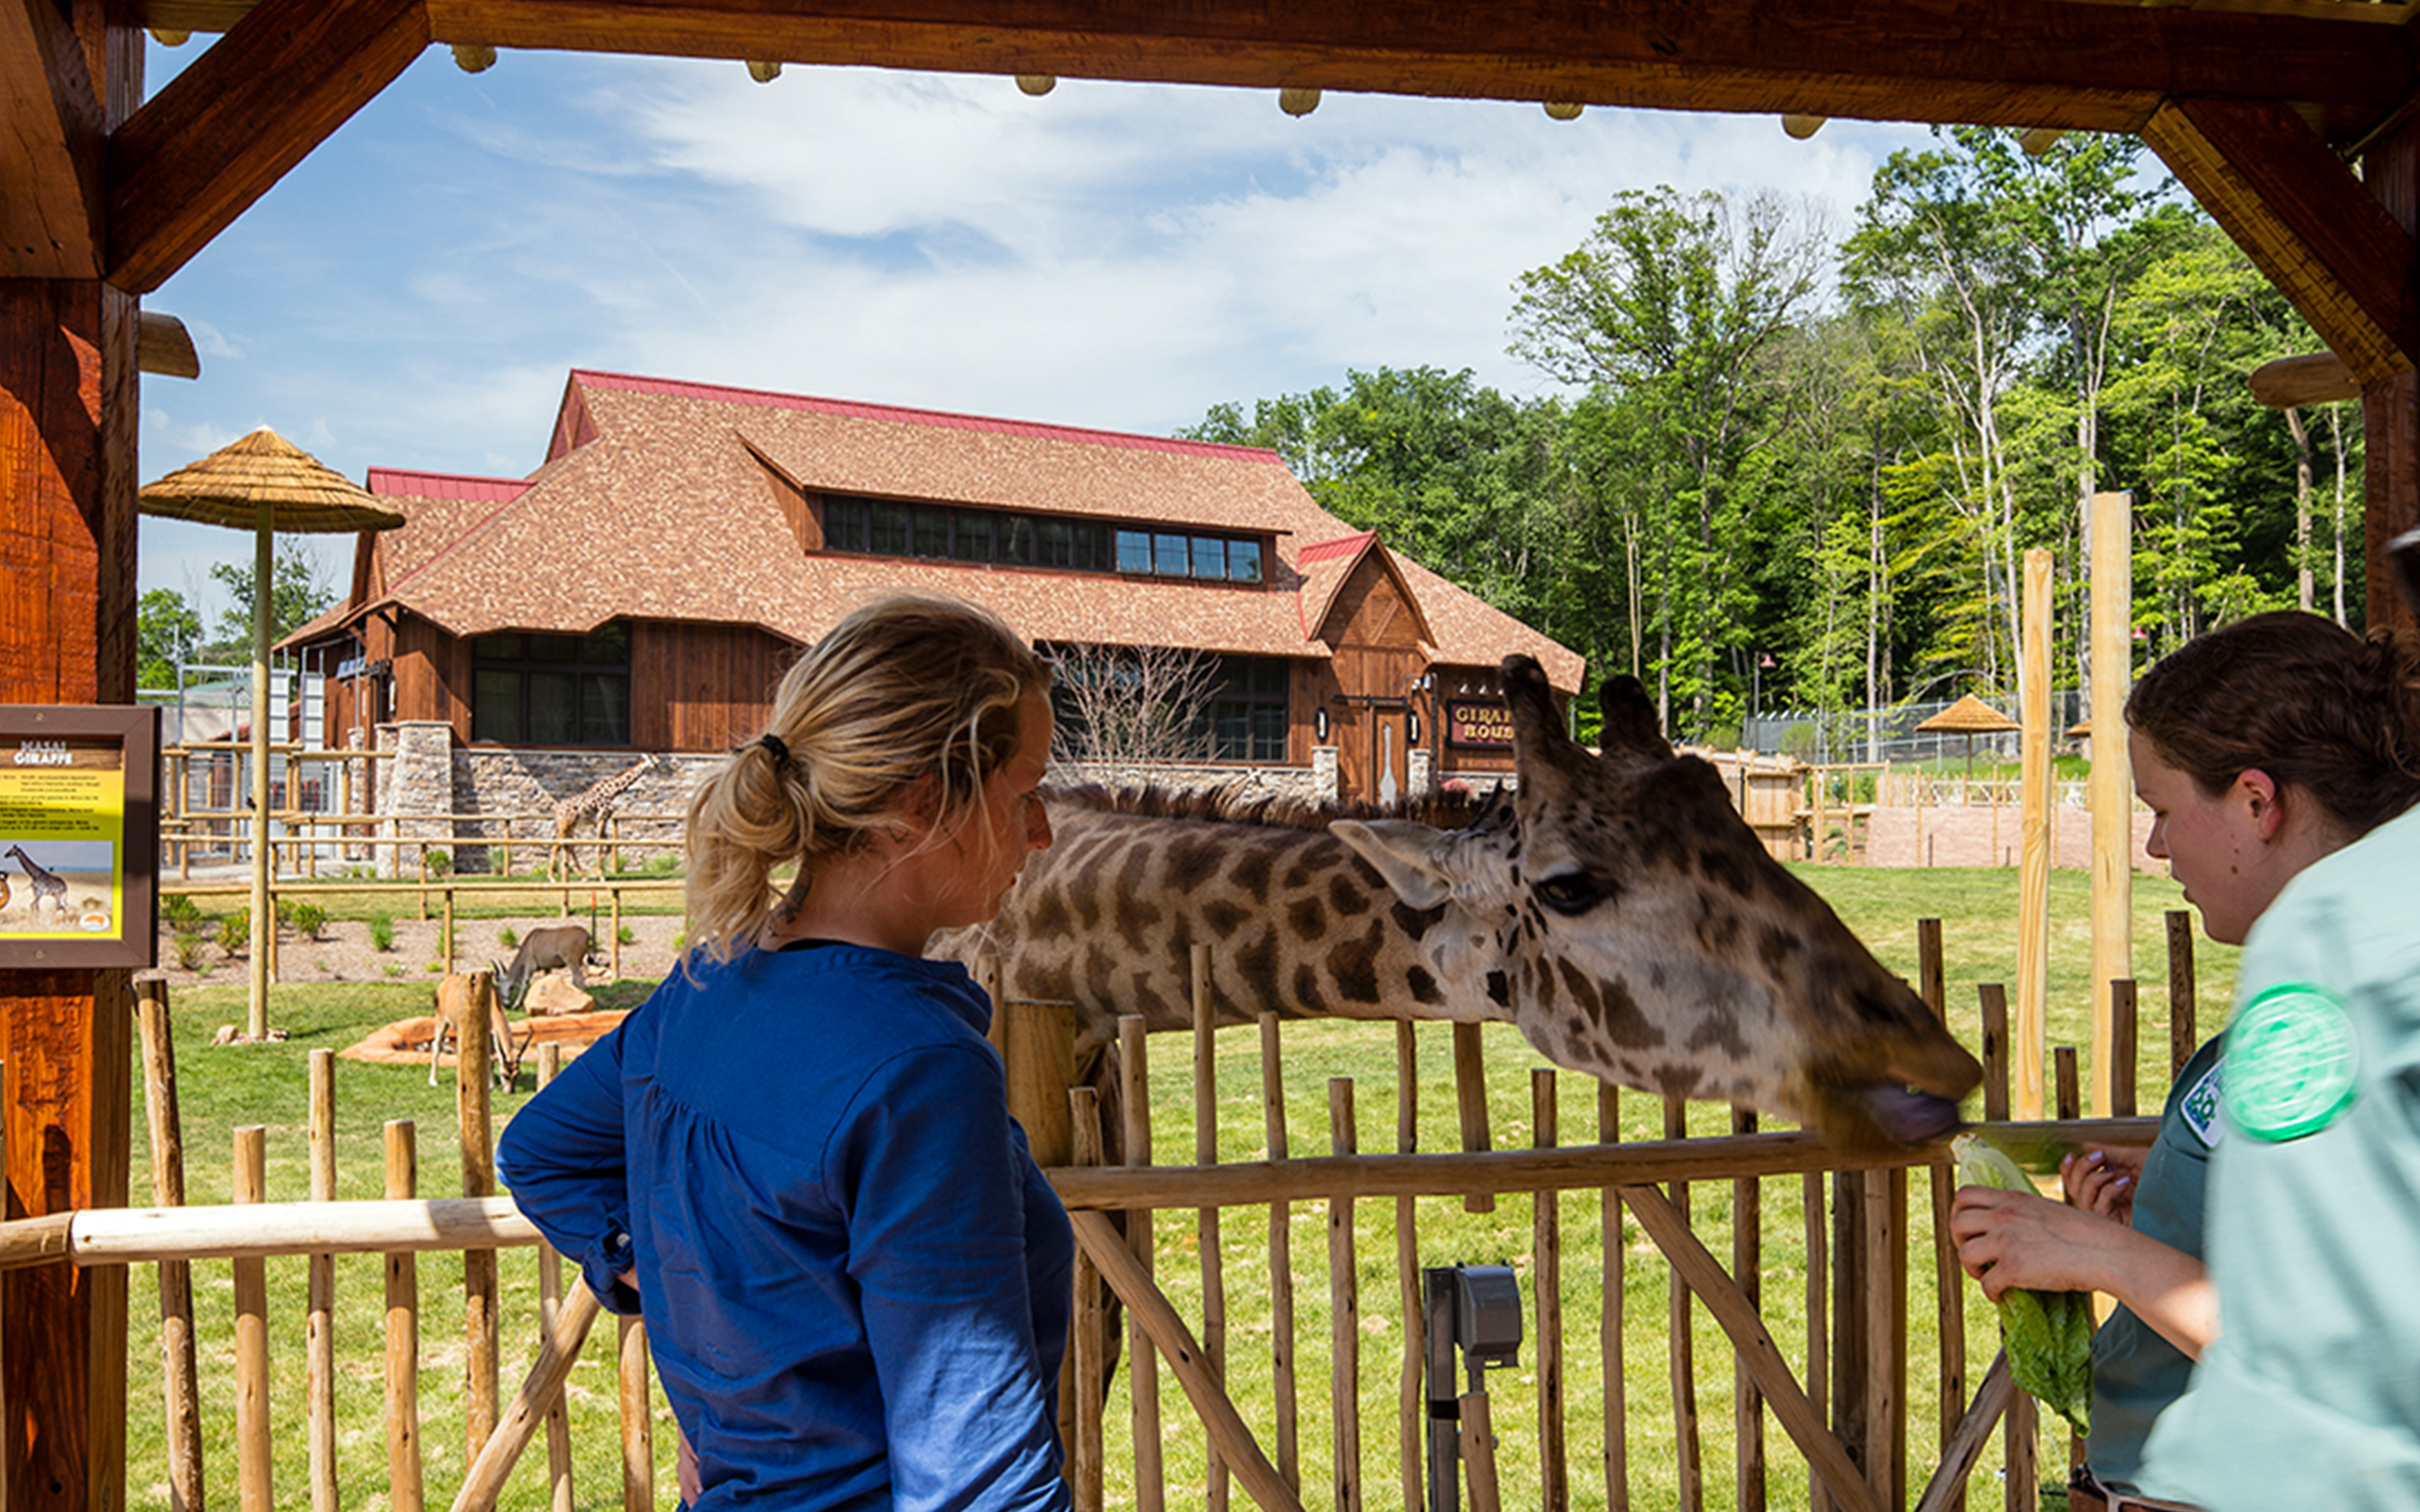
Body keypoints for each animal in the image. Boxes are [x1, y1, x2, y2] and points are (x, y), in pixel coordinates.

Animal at [547, 750, 668, 880]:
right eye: (658, 762)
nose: (667, 770)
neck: (612, 791)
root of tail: (556, 811)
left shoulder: (598, 821)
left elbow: (608, 846)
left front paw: (596, 872)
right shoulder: (602, 817)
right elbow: (599, 844)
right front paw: (599, 874)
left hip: (570, 826)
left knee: (569, 846)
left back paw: (582, 876)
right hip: (565, 825)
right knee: (557, 846)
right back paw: (552, 877)